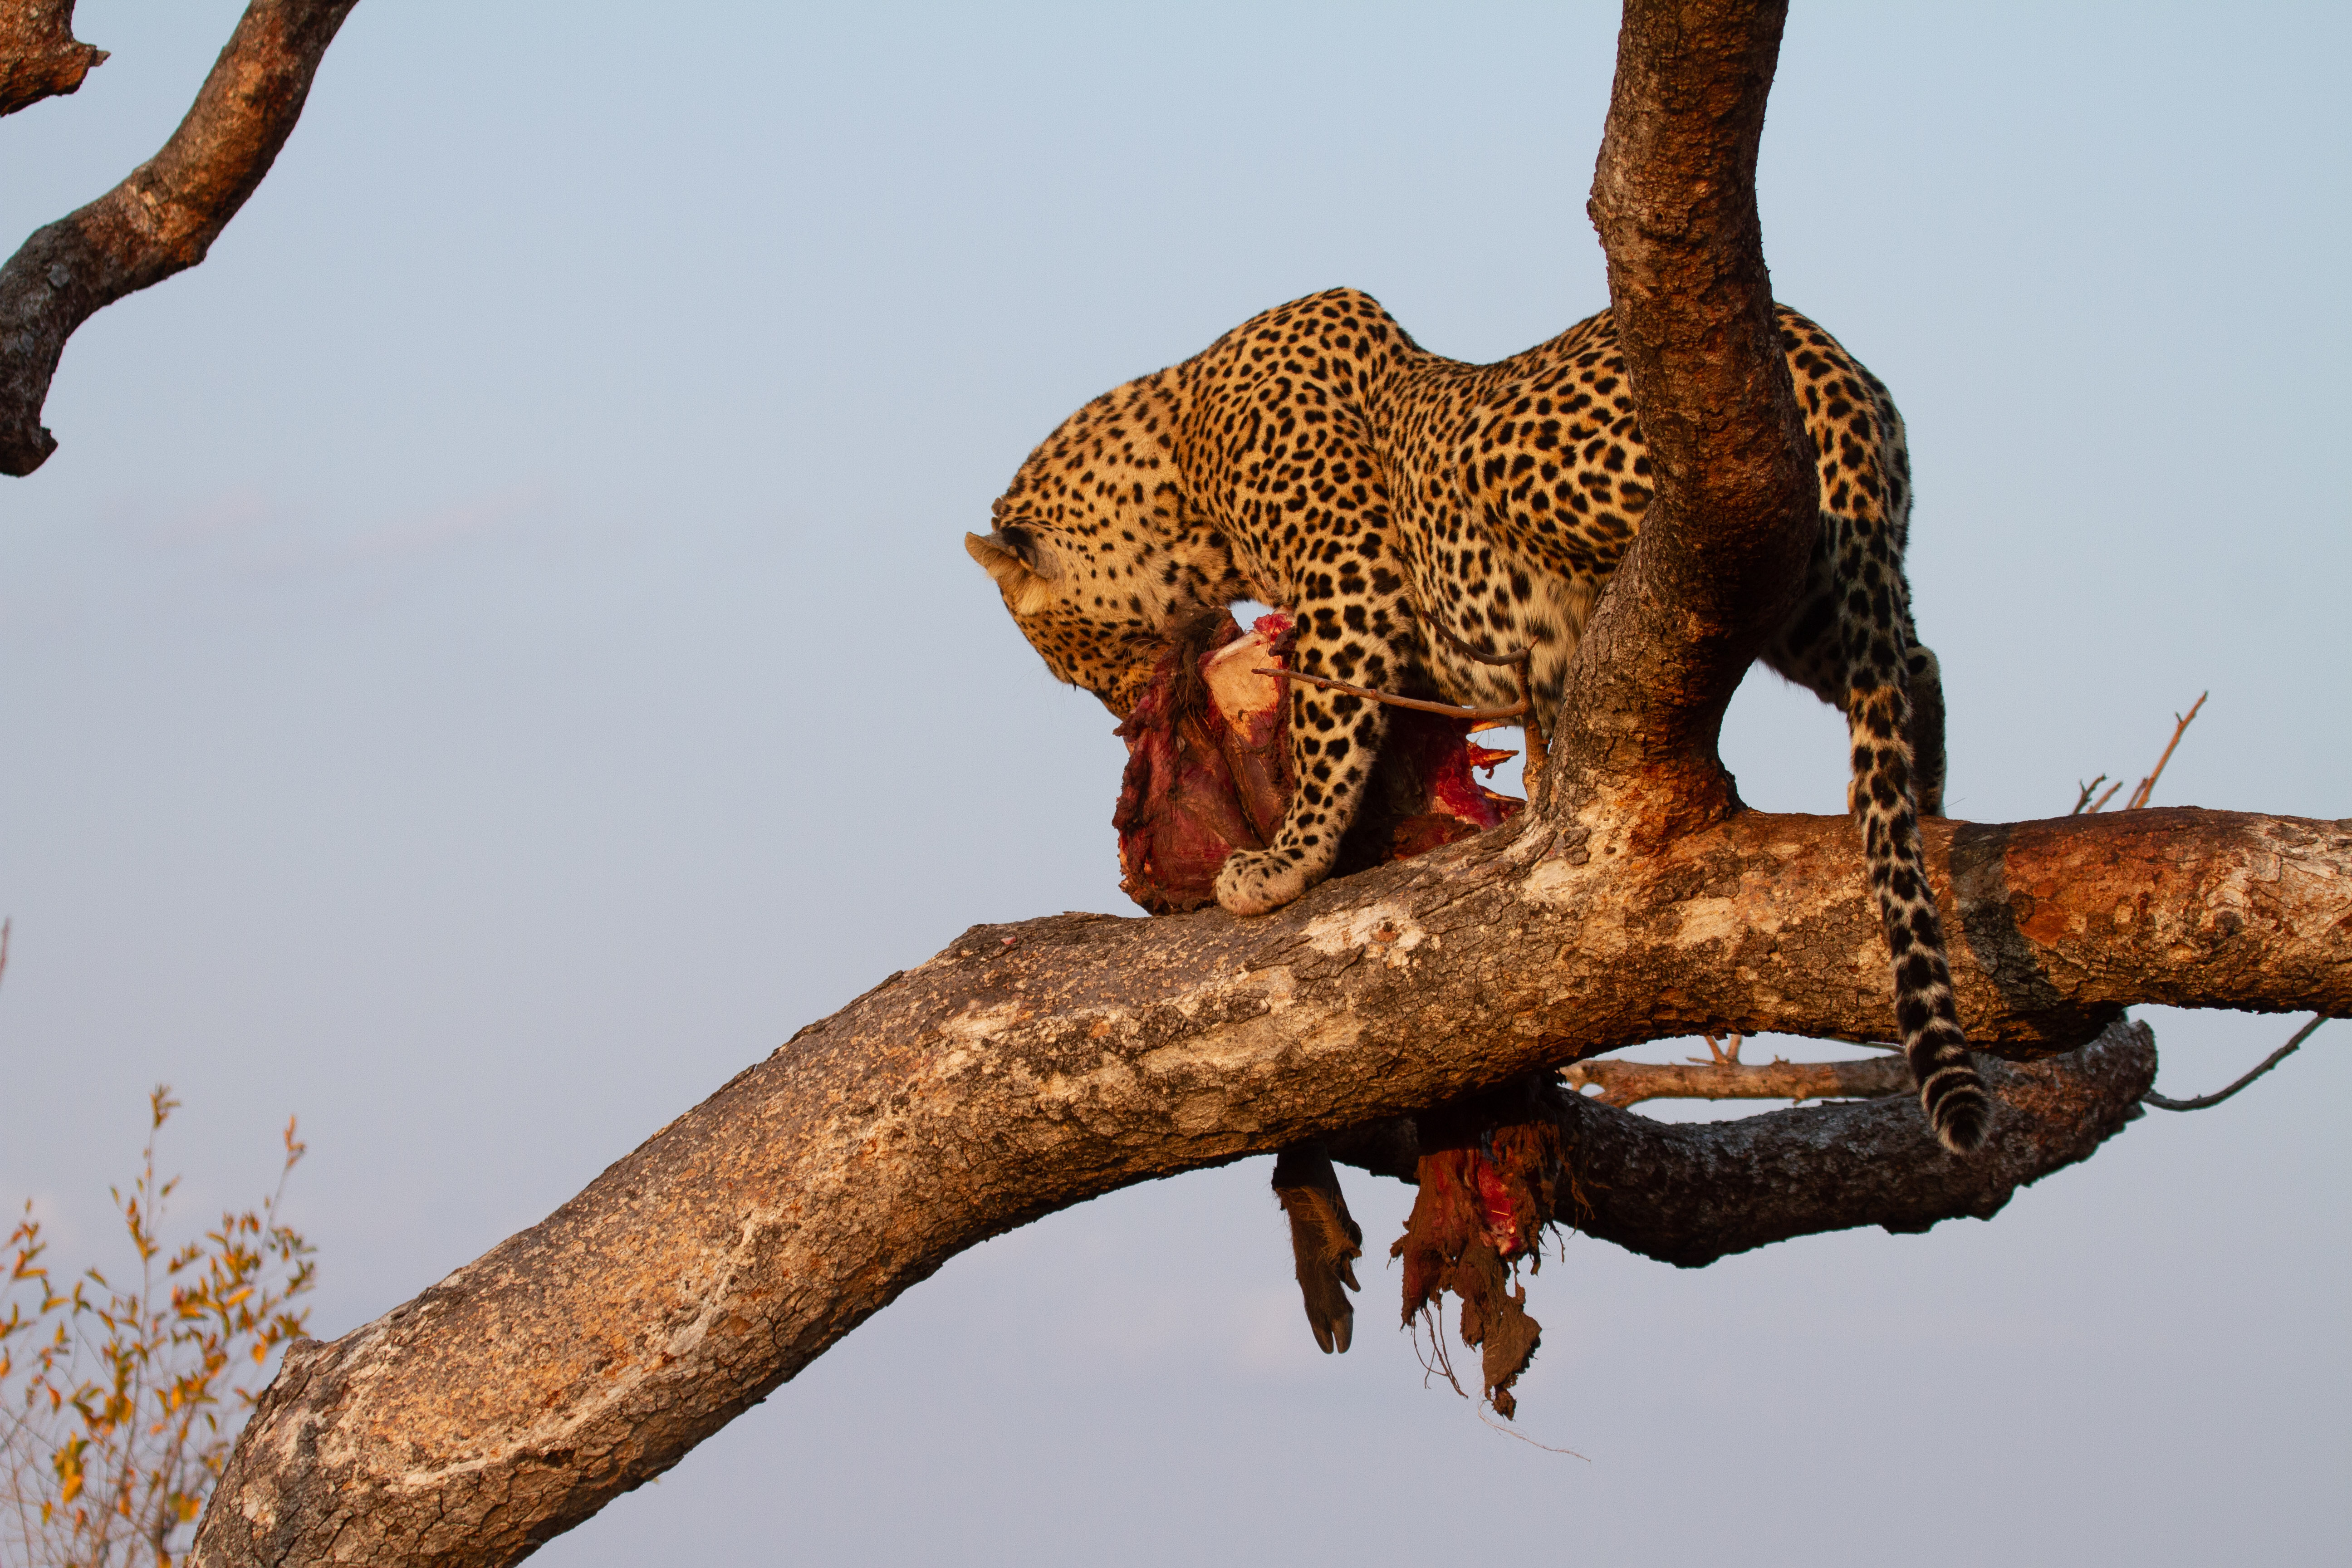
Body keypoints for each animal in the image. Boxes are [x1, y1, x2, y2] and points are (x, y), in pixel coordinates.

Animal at [966, 288, 1988, 1154]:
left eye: (1070, 664)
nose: (1120, 708)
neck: (1176, 457)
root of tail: (1824, 359)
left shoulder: (1349, 572)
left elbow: (1325, 728)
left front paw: (1286, 860)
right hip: (1822, 587)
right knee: (1909, 668)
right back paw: (1925, 795)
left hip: (1511, 449)